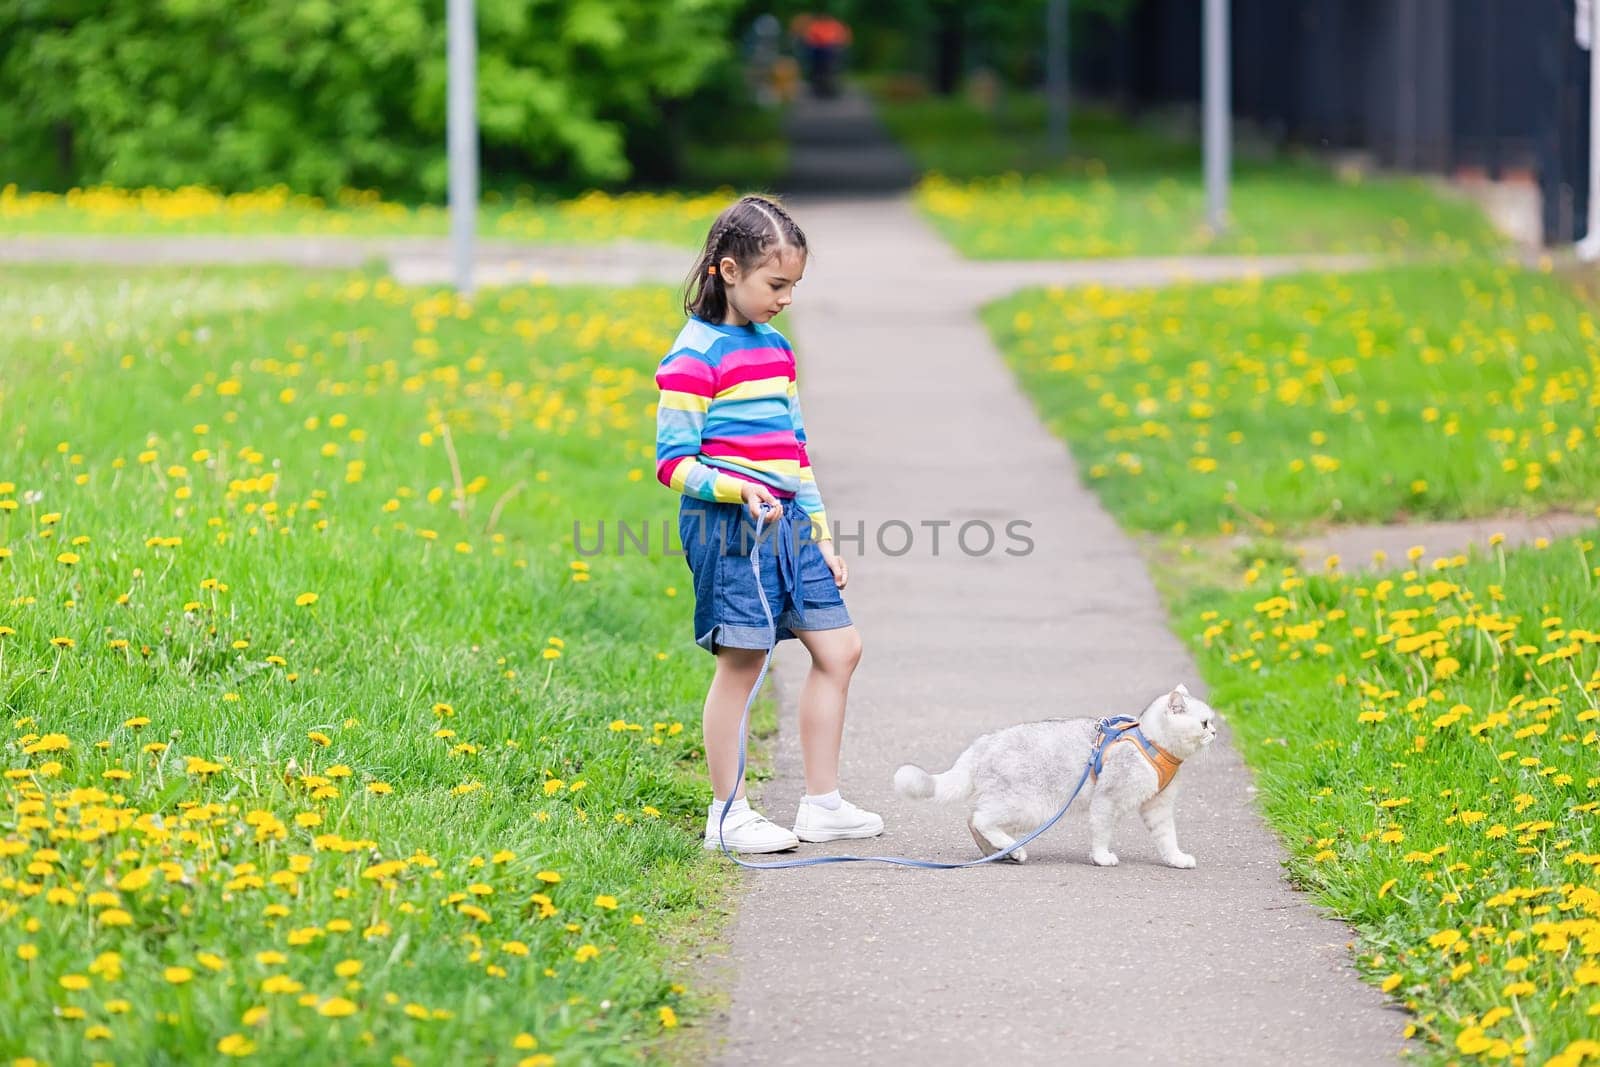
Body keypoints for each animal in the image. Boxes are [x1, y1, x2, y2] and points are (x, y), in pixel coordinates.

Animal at [896, 684, 1216, 870]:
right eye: (1204, 723)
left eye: (1212, 721)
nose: (1215, 732)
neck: (1151, 742)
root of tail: (983, 743)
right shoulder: (1107, 801)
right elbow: (1102, 833)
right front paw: (1102, 857)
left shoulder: (1158, 807)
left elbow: (1167, 837)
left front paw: (1176, 859)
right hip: (1029, 806)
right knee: (979, 819)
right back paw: (1013, 849)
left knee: (973, 820)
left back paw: (1003, 852)